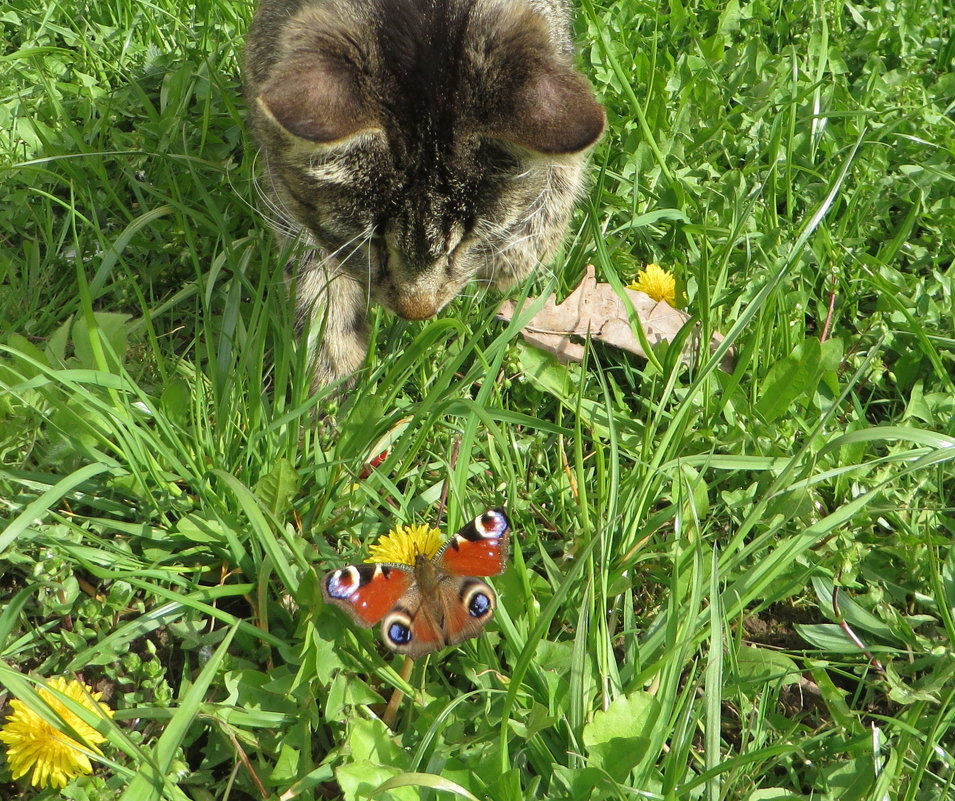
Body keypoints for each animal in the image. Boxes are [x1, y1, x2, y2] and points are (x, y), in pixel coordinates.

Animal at [246, 0, 604, 388]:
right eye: (371, 243)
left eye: (466, 244)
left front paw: (517, 259)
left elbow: (564, 171)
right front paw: (328, 370)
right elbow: (314, 272)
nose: (417, 311)